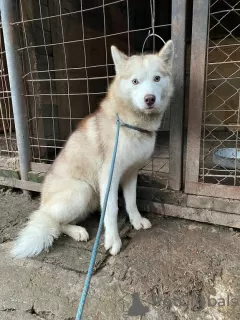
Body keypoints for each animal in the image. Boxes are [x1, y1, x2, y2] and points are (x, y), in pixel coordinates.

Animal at [11, 40, 173, 260]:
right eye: (135, 81)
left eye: (157, 78)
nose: (149, 99)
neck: (129, 123)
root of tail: (44, 200)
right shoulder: (109, 175)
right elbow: (112, 210)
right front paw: (113, 241)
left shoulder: (131, 173)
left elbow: (131, 202)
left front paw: (136, 221)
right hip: (83, 190)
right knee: (52, 220)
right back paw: (76, 231)